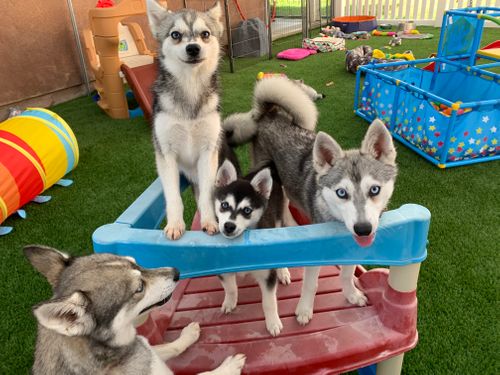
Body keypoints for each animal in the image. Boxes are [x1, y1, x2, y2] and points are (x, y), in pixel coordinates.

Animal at [25, 247, 246, 375]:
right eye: (139, 288)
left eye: (136, 262)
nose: (176, 272)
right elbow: (204, 374)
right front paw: (229, 367)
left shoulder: (149, 351)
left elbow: (170, 347)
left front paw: (188, 335)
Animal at [145, 0, 223, 241]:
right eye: (175, 35)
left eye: (205, 34)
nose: (193, 48)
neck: (190, 87)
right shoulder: (166, 154)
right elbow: (173, 197)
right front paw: (174, 224)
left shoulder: (208, 153)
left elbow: (207, 195)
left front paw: (209, 221)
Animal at [213, 160, 292, 336]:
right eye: (224, 205)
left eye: (247, 210)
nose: (229, 226)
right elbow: (230, 288)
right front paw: (230, 302)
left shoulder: (267, 273)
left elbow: (269, 302)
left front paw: (273, 322)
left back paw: (283, 271)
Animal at [225, 77, 396, 326]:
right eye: (341, 193)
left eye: (375, 189)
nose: (363, 229)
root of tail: (271, 112)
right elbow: (311, 284)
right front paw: (304, 310)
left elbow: (347, 274)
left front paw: (351, 294)